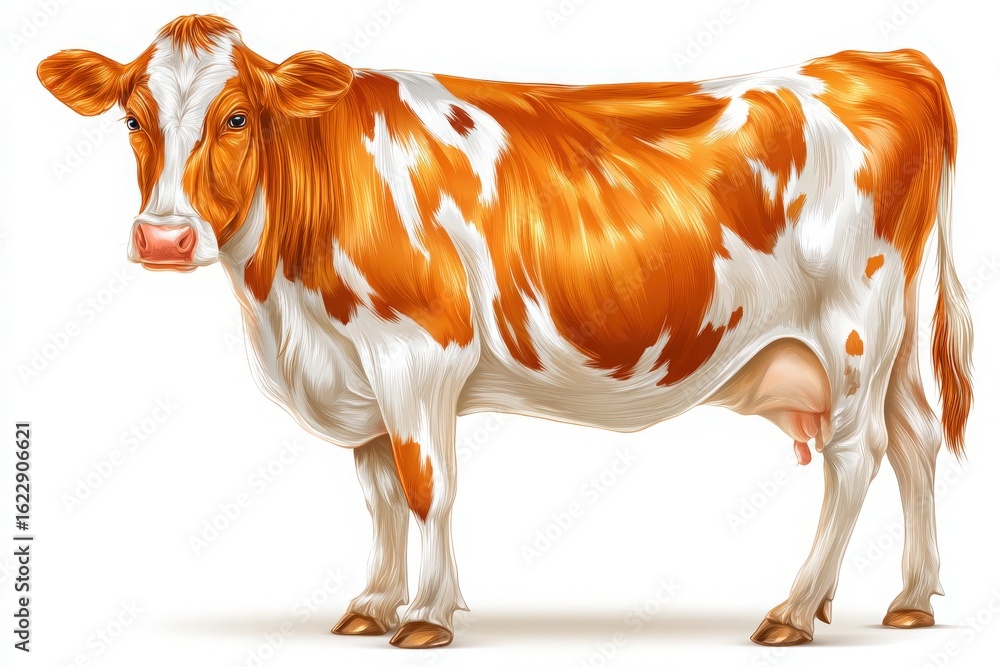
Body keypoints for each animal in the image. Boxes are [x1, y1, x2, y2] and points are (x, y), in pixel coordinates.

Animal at [38, 14, 972, 649]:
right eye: (131, 119)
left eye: (236, 117)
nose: (164, 239)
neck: (287, 313)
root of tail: (882, 61)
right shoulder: (359, 370)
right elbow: (379, 489)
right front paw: (372, 603)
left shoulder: (417, 352)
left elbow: (426, 486)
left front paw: (424, 615)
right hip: (888, 339)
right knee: (916, 438)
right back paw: (909, 599)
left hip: (852, 326)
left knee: (857, 457)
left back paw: (795, 608)